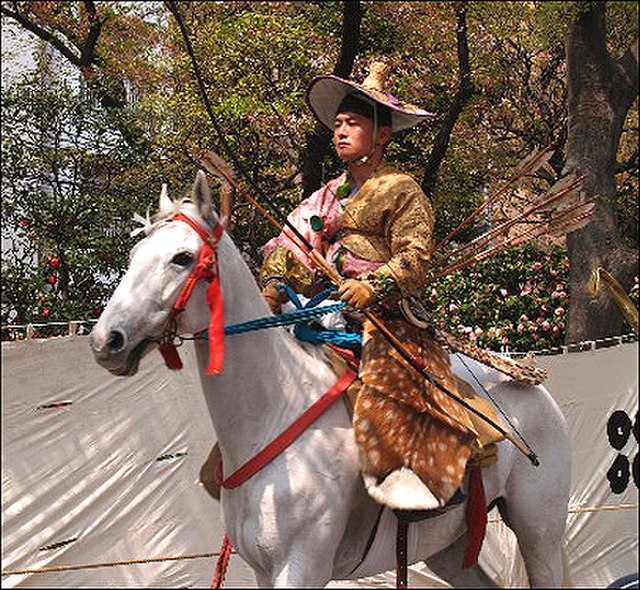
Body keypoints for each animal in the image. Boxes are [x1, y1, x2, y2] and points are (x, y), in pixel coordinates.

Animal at [91, 173, 568, 588]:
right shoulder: (263, 570)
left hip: (540, 533)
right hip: (447, 546)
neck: (271, 415)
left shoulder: (301, 566)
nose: (106, 340)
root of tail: (542, 396)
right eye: (134, 258)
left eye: (183, 258)